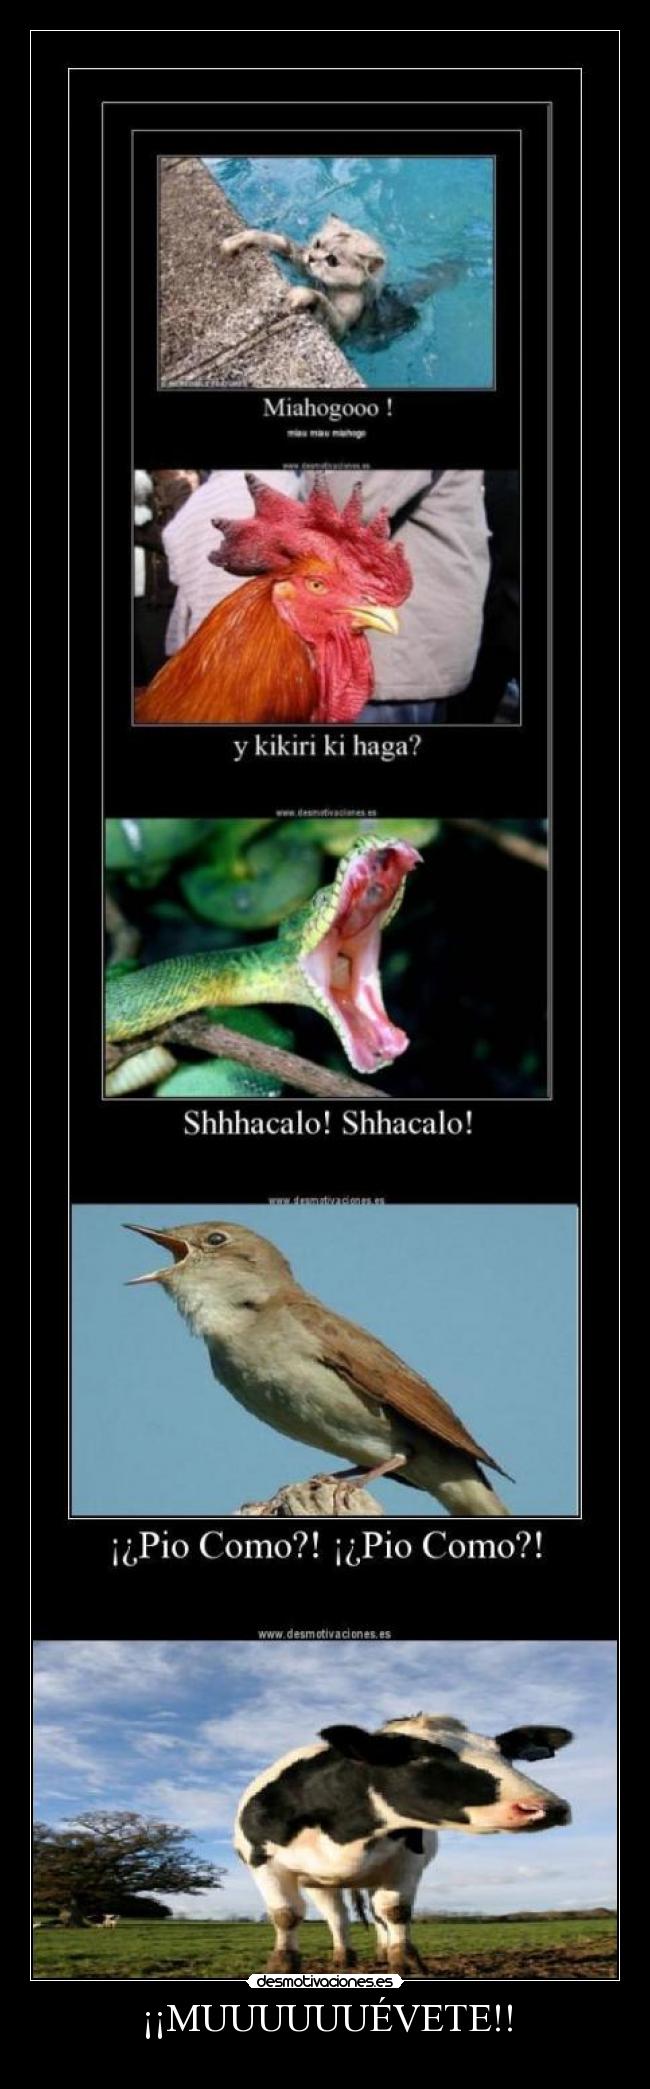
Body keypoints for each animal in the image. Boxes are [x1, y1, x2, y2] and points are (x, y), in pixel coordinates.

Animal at [234, 1713, 573, 1973]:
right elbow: (286, 1915)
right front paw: (281, 1965)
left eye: (505, 1755)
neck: (347, 1833)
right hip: (320, 1881)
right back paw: (343, 1959)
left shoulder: (408, 1859)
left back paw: (381, 1953)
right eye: (418, 1757)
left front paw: (405, 1962)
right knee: (338, 1917)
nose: (549, 1807)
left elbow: (396, 1911)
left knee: (375, 1915)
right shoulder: (263, 1861)